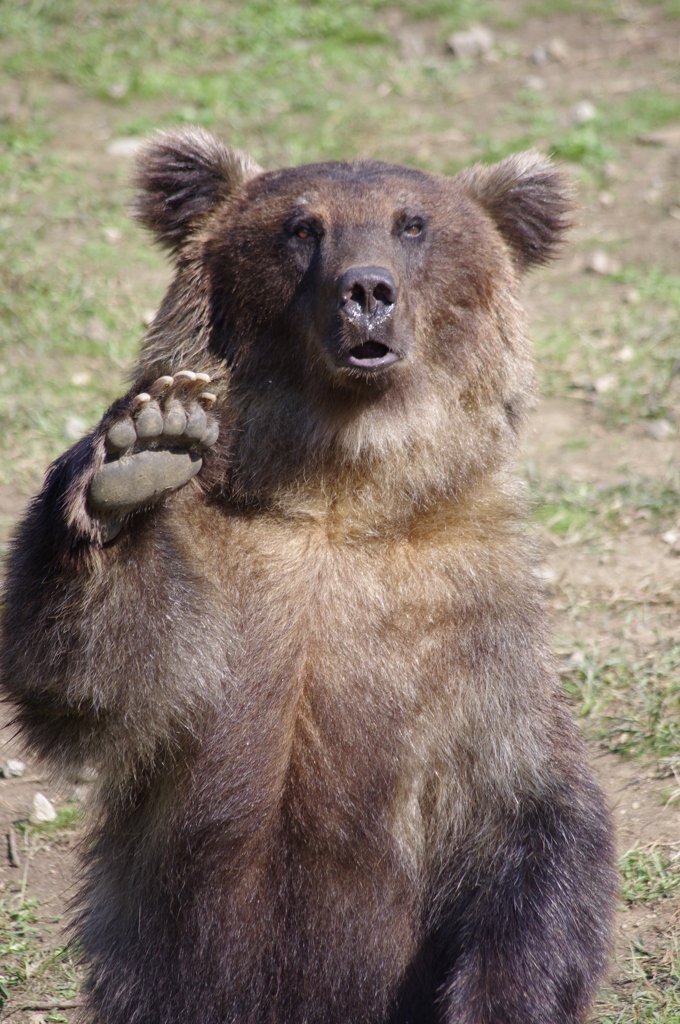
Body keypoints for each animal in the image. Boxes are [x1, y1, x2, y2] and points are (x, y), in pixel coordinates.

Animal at [0, 130, 614, 1024]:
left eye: (412, 222)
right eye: (301, 228)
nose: (367, 291)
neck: (335, 495)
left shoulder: (470, 624)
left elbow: (535, 813)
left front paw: (500, 997)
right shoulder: (218, 593)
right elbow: (96, 676)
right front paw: (141, 454)